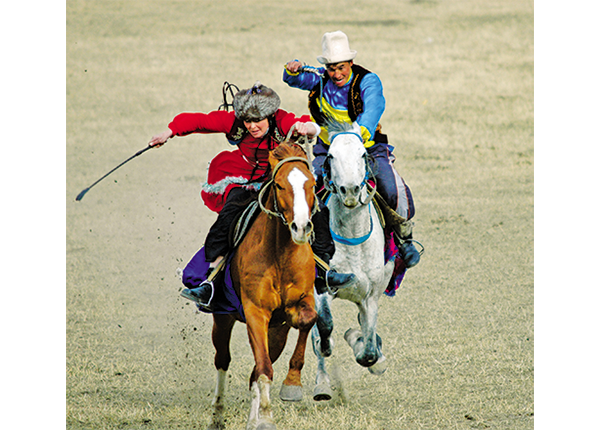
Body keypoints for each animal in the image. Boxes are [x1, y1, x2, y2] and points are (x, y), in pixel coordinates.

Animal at [209, 143, 318, 428]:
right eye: (279, 185)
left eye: (313, 183)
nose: (301, 227)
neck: (280, 254)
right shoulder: (255, 312)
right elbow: (264, 368)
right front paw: (267, 417)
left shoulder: (301, 302)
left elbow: (308, 320)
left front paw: (292, 384)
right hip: (222, 319)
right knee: (223, 360)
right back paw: (218, 413)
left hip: (277, 333)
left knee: (254, 371)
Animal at [312, 120, 396, 400]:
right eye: (330, 155)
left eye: (362, 154)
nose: (349, 191)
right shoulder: (321, 286)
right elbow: (324, 326)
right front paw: (330, 343)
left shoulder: (371, 297)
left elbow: (368, 352)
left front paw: (359, 341)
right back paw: (322, 384)